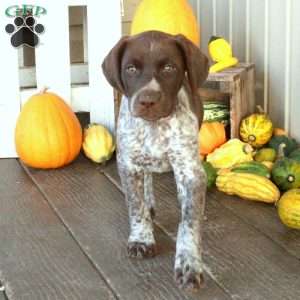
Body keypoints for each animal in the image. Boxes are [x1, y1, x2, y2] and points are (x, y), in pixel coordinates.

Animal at [102, 29, 207, 290]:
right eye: (130, 69)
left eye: (169, 68)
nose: (148, 100)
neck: (155, 127)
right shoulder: (128, 165)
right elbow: (135, 205)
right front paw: (142, 239)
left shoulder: (190, 169)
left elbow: (189, 223)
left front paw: (189, 263)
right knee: (147, 180)